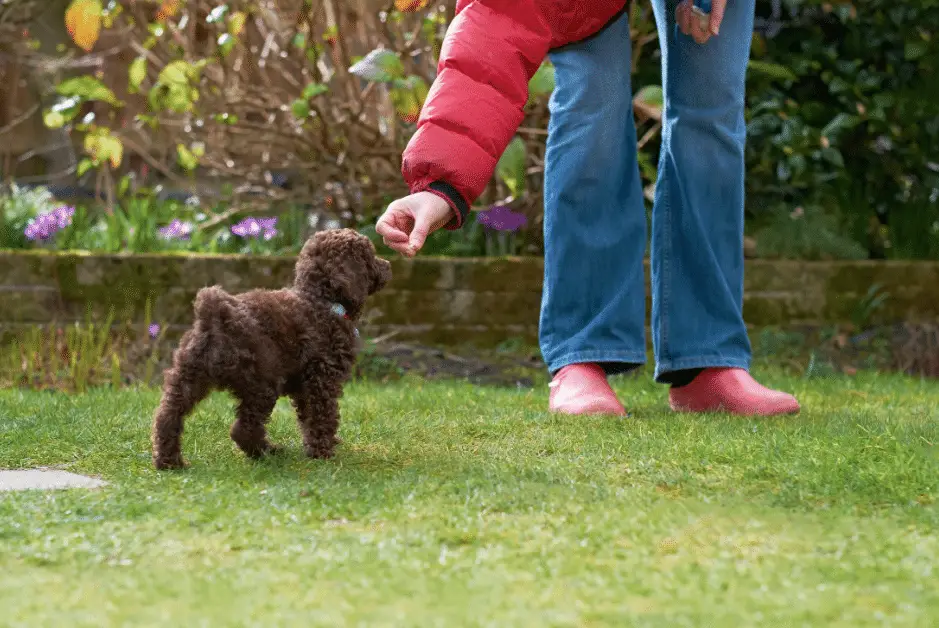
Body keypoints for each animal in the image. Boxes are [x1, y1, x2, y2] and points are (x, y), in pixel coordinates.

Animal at [151, 228, 392, 468]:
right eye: (369, 256)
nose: (389, 265)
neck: (319, 299)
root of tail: (215, 316)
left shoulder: (304, 386)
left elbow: (308, 418)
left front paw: (317, 446)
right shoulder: (322, 378)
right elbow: (322, 415)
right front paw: (323, 453)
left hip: (189, 376)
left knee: (168, 416)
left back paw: (169, 461)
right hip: (262, 382)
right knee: (244, 428)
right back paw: (266, 452)